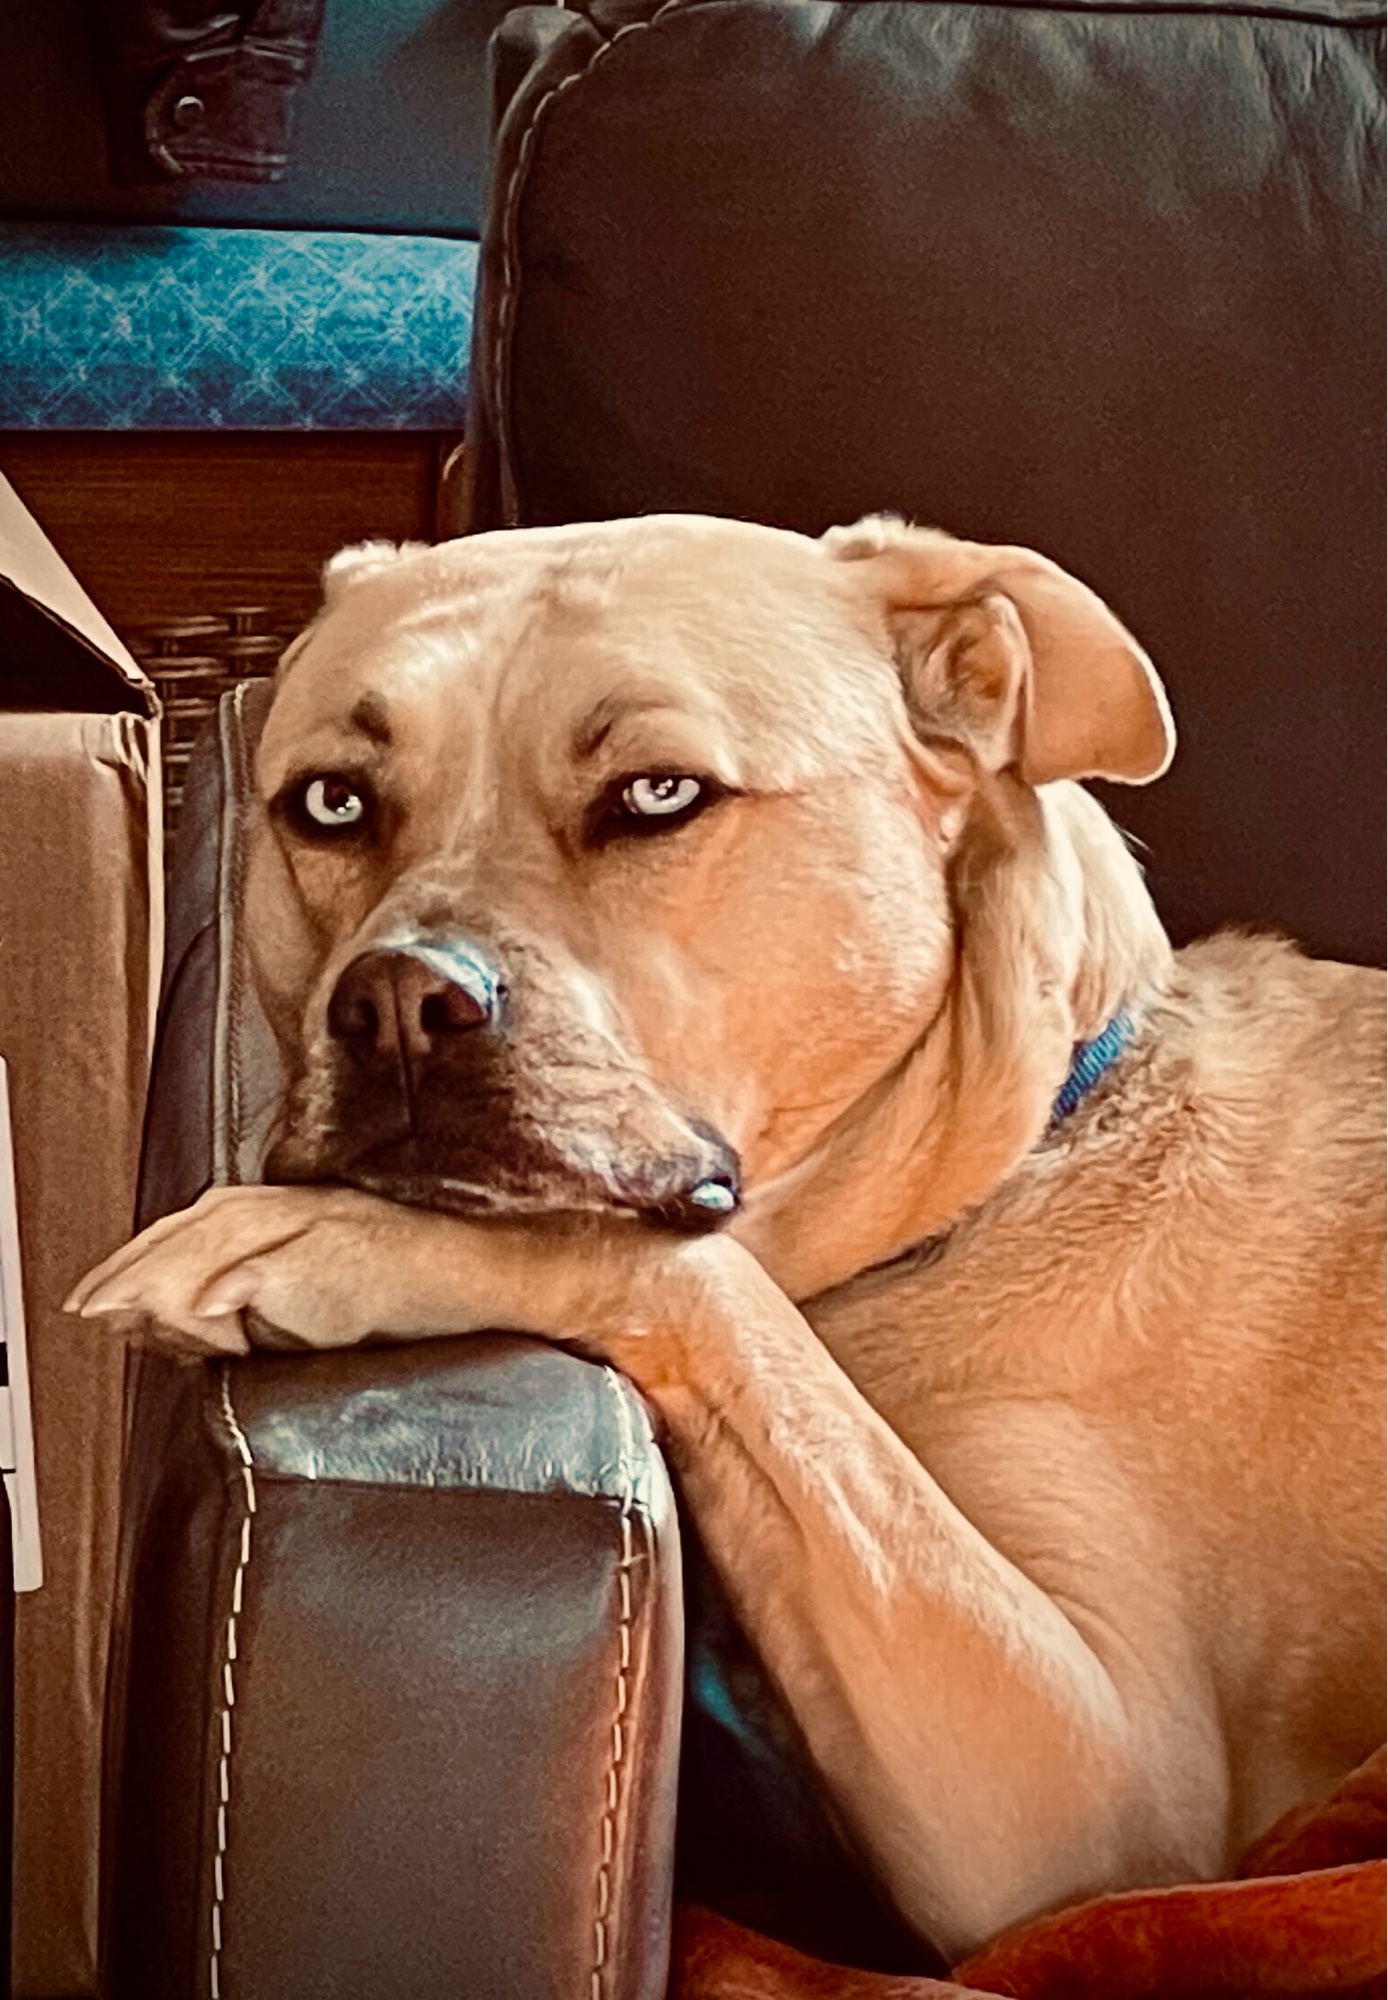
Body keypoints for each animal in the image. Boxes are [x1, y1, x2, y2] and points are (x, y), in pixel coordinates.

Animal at [71, 514, 1386, 1961]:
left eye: (657, 795)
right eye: (330, 804)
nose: (401, 1003)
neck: (1008, 1163)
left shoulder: (1090, 1807)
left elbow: (696, 1282)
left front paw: (314, 1238)